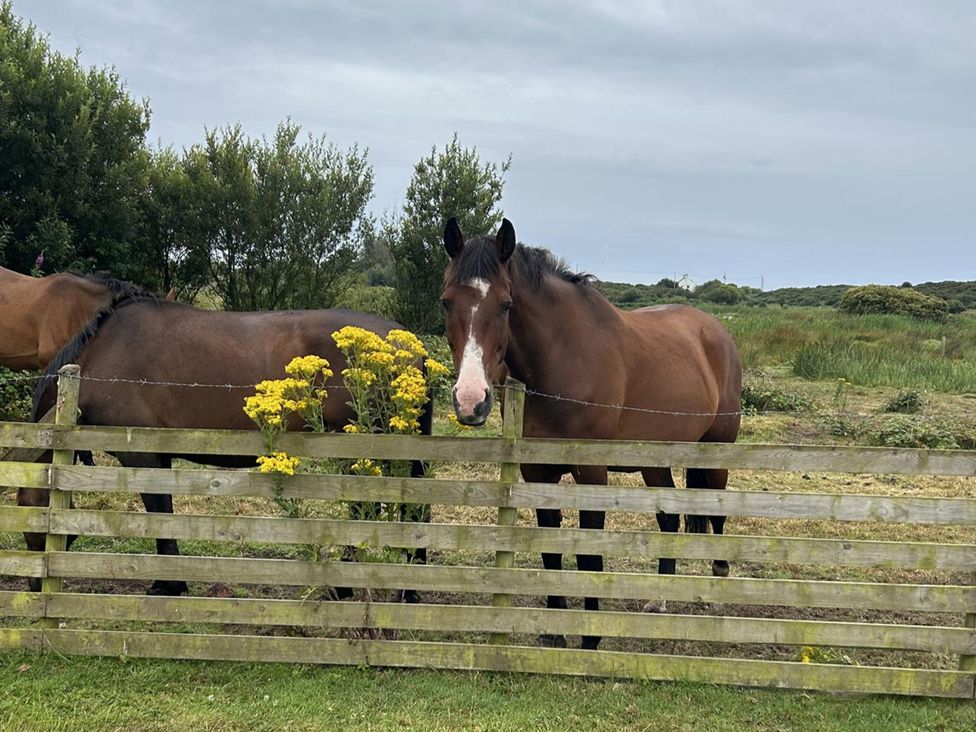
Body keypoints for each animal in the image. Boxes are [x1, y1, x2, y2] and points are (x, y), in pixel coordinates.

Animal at [24, 293, 432, 597]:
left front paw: (167, 584)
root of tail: (408, 343)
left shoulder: (142, 456)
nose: (30, 584)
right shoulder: (158, 457)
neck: (103, 354)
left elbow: (159, 515)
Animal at [439, 218, 742, 650]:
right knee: (670, 520)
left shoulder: (591, 472)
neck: (565, 361)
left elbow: (589, 555)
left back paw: (718, 590)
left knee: (717, 515)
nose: (470, 400)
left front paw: (590, 638)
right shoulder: (538, 472)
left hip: (718, 451)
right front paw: (554, 631)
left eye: (506, 304)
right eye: (447, 302)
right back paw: (660, 600)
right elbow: (551, 549)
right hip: (655, 460)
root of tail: (715, 331)